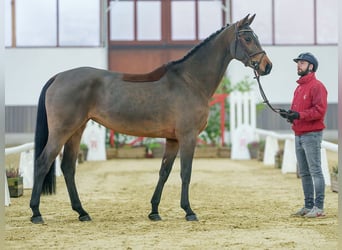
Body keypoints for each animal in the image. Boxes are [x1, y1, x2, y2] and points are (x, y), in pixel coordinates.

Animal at [29, 14, 272, 224]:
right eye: (248, 38)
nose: (267, 66)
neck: (190, 80)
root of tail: (58, 77)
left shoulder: (173, 140)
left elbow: (164, 172)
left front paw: (154, 211)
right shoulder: (188, 137)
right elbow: (185, 172)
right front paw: (189, 211)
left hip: (76, 130)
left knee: (68, 167)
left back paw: (82, 212)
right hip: (62, 131)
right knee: (42, 162)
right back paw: (36, 213)